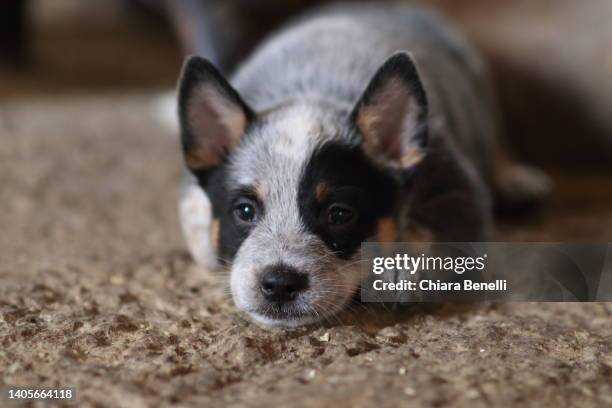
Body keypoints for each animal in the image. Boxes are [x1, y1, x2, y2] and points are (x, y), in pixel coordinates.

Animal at [173, 4, 548, 326]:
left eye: (340, 214)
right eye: (245, 211)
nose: (279, 282)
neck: (314, 93)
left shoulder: (456, 189)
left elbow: (437, 236)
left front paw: (397, 269)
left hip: (479, 83)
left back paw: (515, 179)